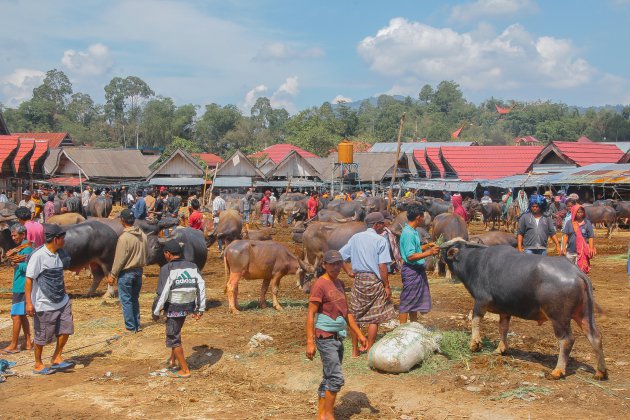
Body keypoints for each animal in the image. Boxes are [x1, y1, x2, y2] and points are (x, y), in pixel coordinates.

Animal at [442, 240, 608, 380]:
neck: (473, 262)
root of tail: (576, 272)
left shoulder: (481, 301)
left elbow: (475, 320)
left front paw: (474, 344)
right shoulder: (505, 310)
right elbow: (503, 328)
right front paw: (501, 349)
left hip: (559, 317)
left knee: (567, 340)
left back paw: (558, 371)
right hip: (584, 314)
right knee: (595, 336)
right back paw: (600, 372)